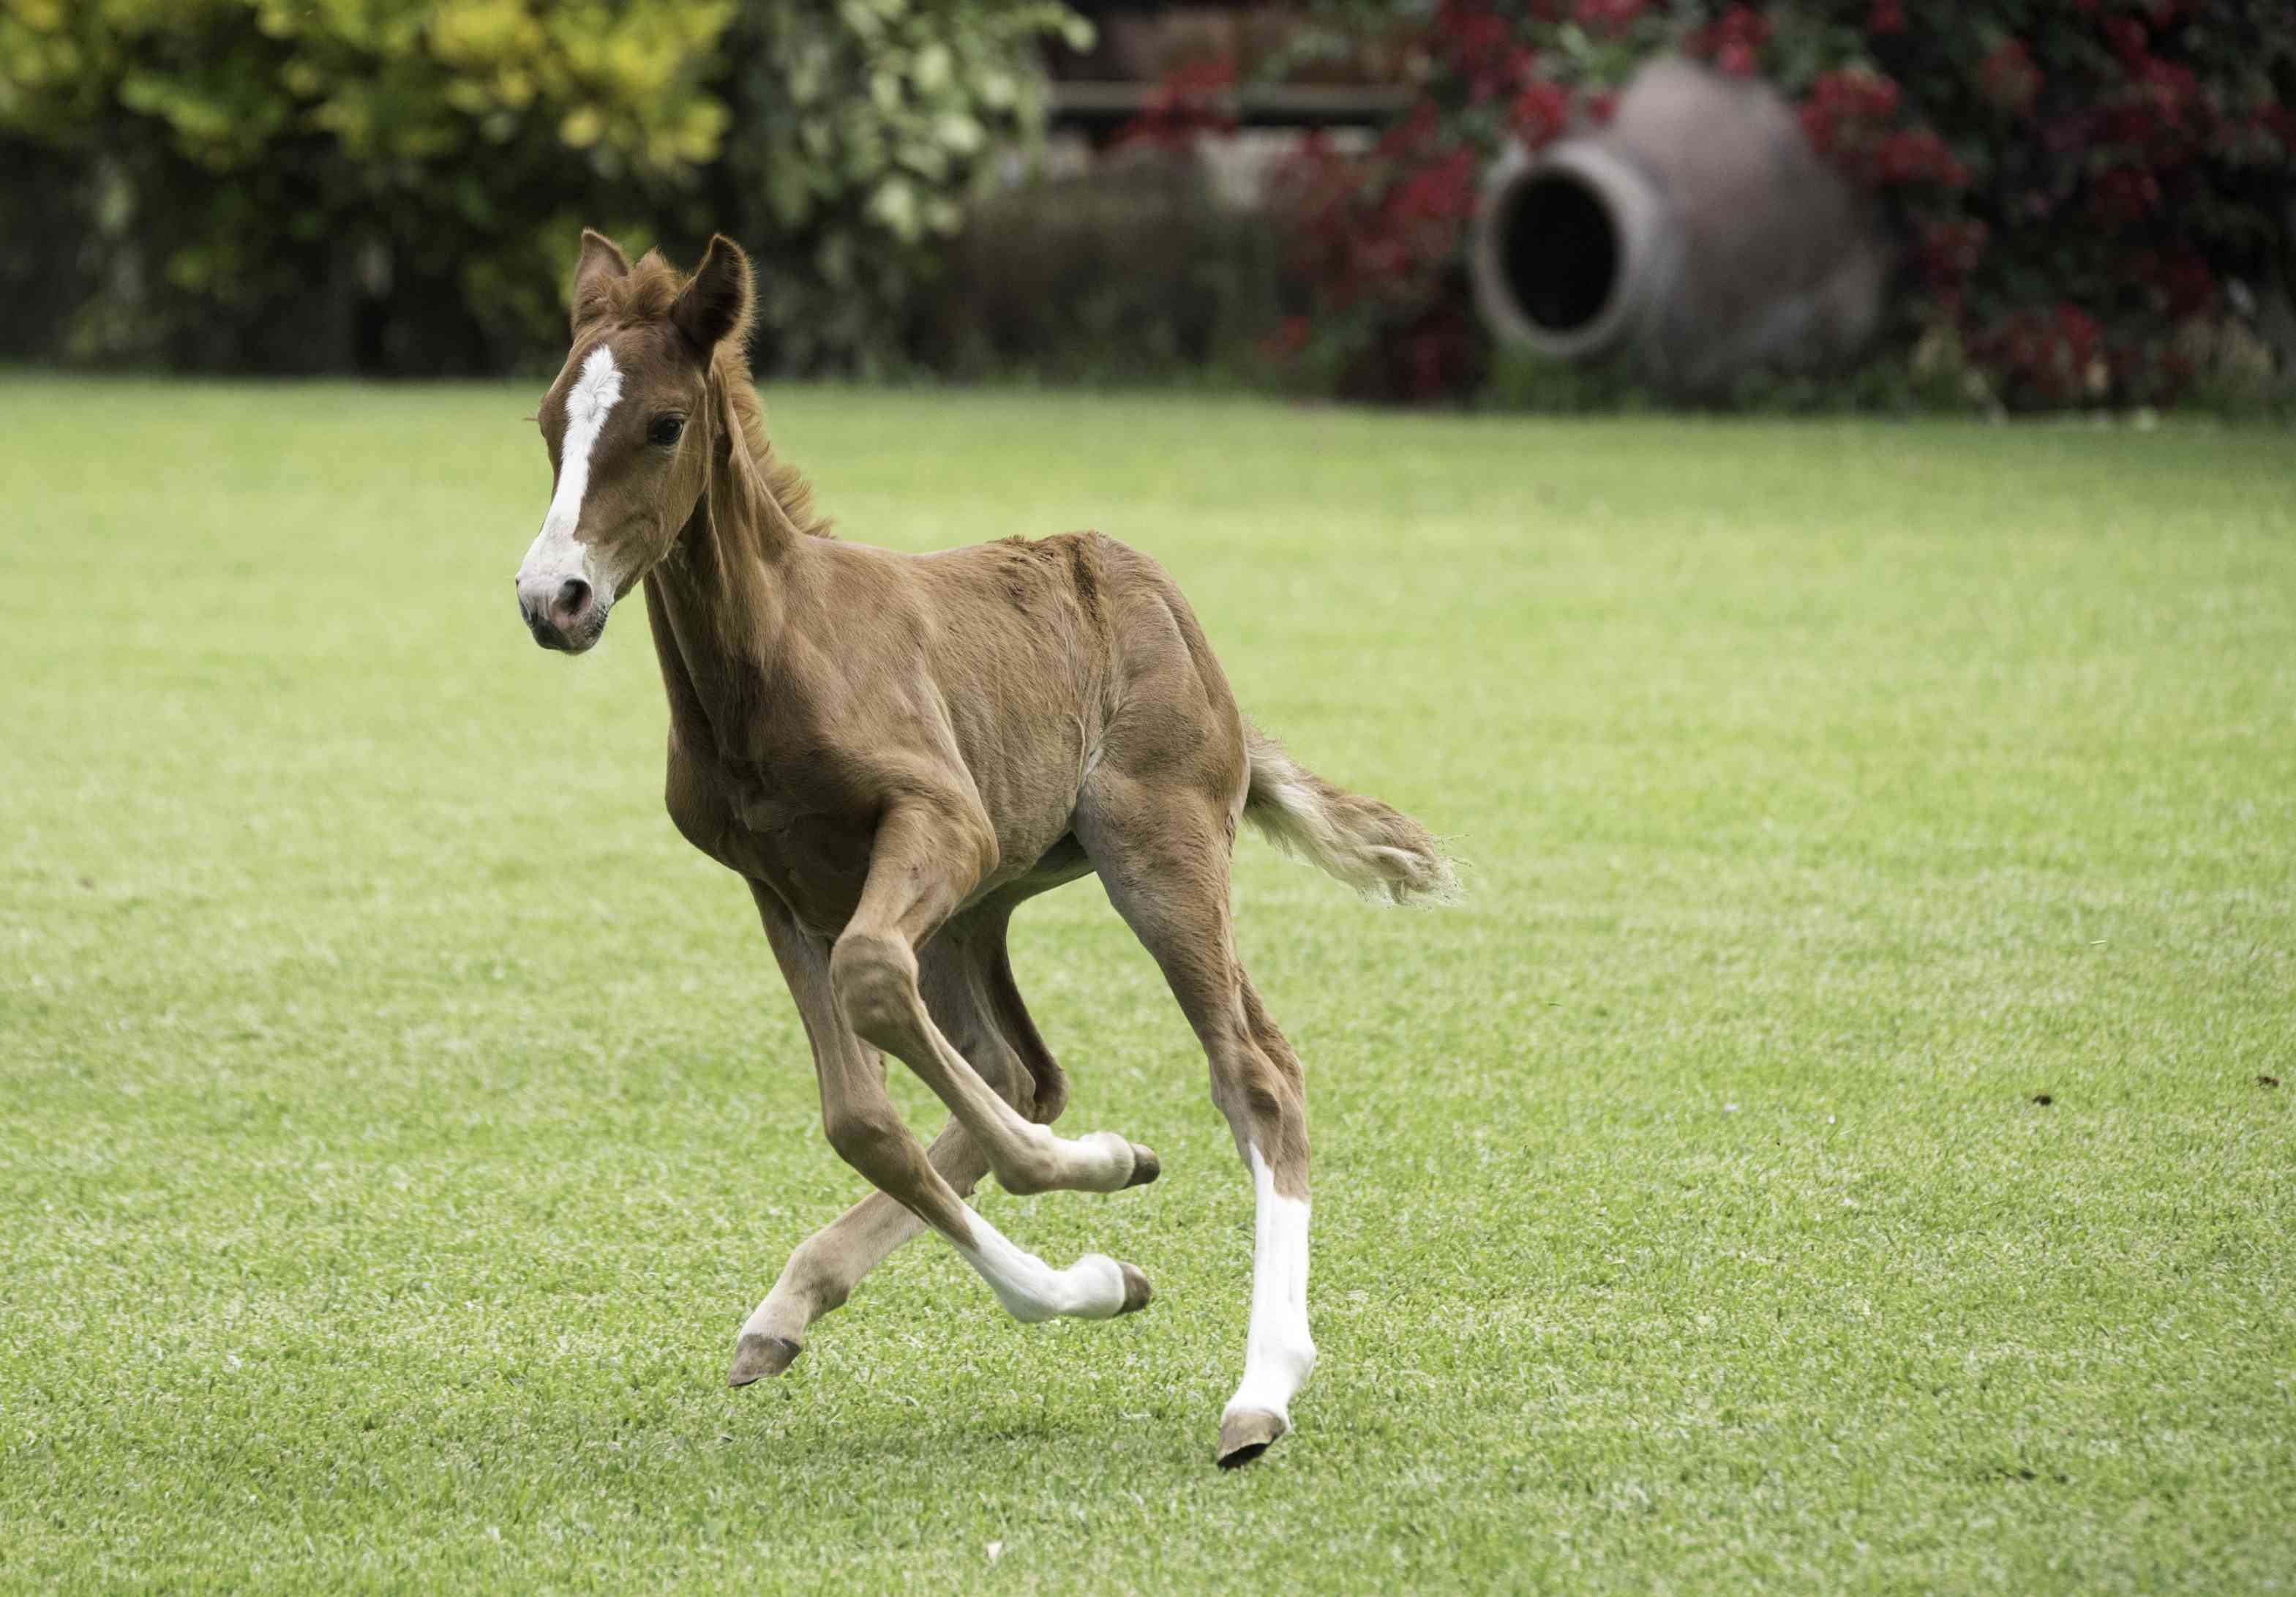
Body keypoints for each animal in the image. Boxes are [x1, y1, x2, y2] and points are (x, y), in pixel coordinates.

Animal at [514, 231, 1460, 1470]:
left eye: (664, 424)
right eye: (548, 422)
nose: (554, 598)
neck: (773, 657)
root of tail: (1186, 630)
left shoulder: (936, 824)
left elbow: (880, 996)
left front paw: (1104, 1174)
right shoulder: (781, 887)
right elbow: (862, 1118)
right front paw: (1096, 1266)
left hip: (1152, 852)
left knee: (1251, 1069)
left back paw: (1262, 1386)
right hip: (979, 906)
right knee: (1019, 1069)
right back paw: (796, 1303)